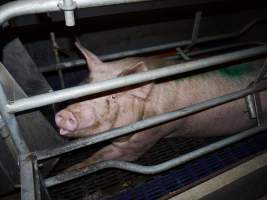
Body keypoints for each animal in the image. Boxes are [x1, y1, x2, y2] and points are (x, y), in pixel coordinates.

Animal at [55, 41, 267, 170]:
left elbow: (112, 156)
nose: (66, 115)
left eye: (113, 96)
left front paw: (72, 171)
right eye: (86, 84)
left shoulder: (148, 136)